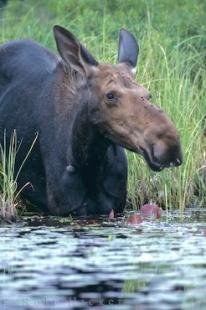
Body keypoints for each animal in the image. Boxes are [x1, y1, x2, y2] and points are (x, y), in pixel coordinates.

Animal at [0, 25, 182, 217]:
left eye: (148, 94)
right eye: (110, 95)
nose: (170, 144)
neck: (90, 163)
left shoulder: (116, 206)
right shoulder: (63, 208)